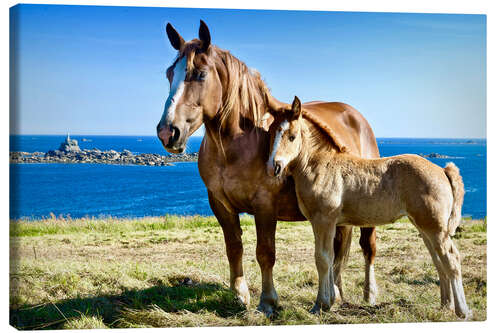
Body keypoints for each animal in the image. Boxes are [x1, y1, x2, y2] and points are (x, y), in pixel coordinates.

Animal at [156, 20, 378, 314]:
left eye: (200, 74)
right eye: (170, 74)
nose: (167, 132)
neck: (239, 143)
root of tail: (355, 116)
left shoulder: (264, 206)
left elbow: (265, 252)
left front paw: (268, 301)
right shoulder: (220, 204)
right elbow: (234, 247)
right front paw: (239, 295)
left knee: (368, 247)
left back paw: (370, 294)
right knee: (338, 250)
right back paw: (337, 294)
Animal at [268, 95, 470, 316]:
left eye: (292, 136)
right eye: (270, 133)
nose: (274, 167)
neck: (321, 165)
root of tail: (442, 170)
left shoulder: (324, 220)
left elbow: (322, 259)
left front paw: (320, 304)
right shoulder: (324, 223)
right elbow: (329, 258)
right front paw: (329, 301)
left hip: (435, 228)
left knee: (452, 259)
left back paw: (462, 310)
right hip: (425, 227)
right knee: (439, 260)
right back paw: (445, 305)